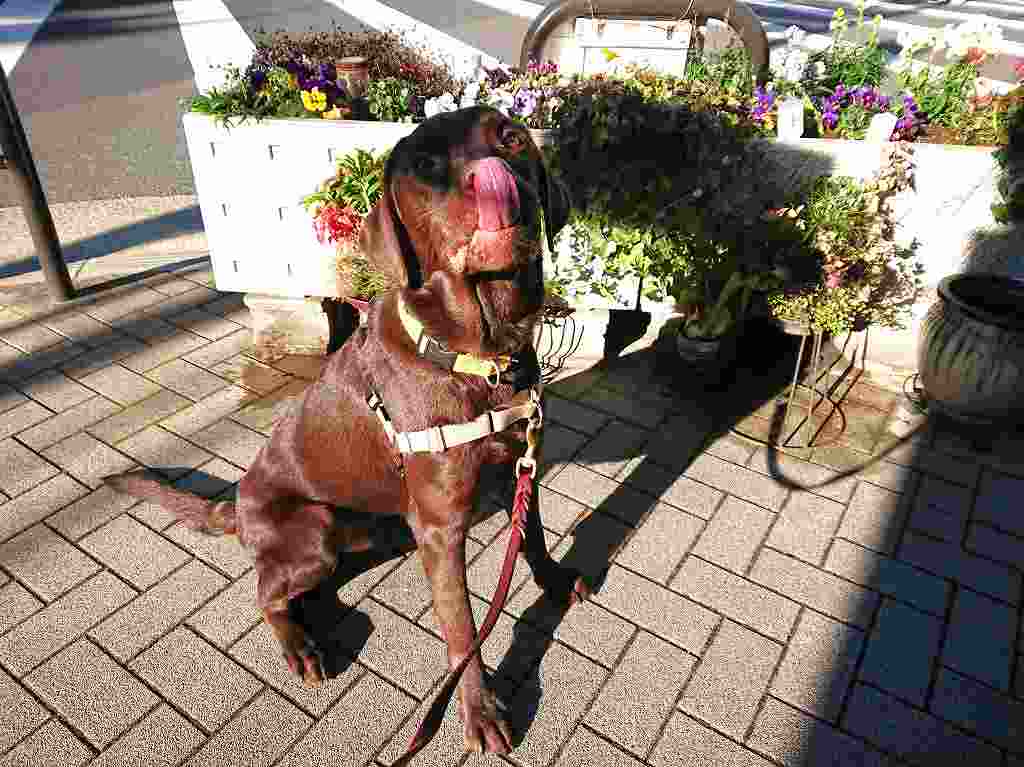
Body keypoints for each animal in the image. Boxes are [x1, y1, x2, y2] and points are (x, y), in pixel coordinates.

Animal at [105, 105, 589, 755]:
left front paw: (554, 581)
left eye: (510, 138)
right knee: (267, 592)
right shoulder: (441, 527)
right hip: (312, 527)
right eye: (426, 165)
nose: (489, 178)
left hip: (364, 528)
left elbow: (530, 537)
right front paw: (479, 711)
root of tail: (236, 503)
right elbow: (462, 628)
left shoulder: (522, 460)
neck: (479, 357)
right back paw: (301, 647)